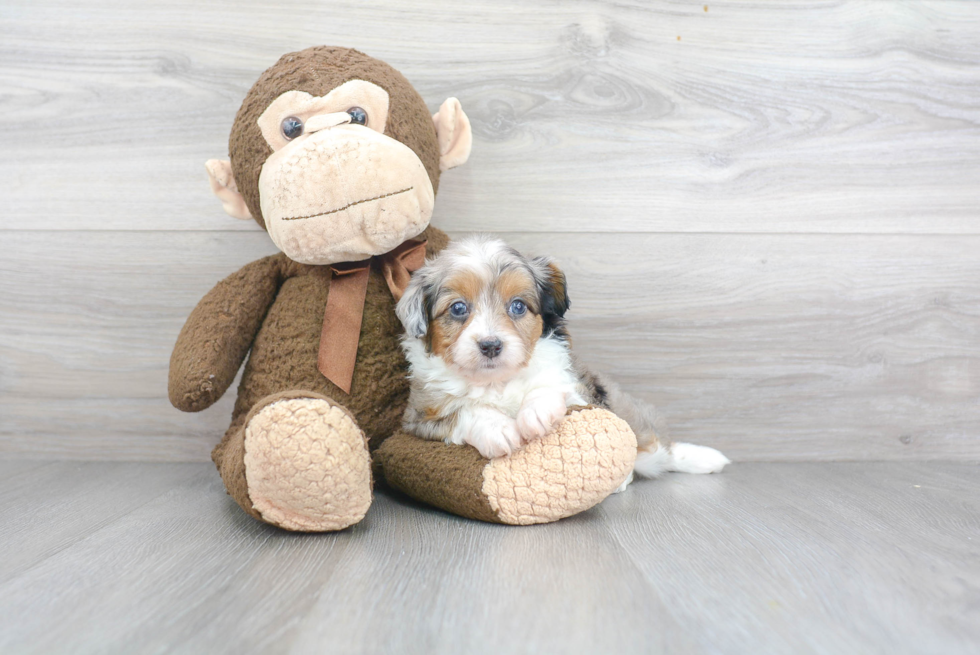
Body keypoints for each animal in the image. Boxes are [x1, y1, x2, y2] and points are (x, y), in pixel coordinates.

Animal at [392, 236, 728, 482]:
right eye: (458, 308)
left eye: (518, 306)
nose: (490, 345)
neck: (496, 380)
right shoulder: (418, 416)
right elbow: (464, 410)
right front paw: (498, 428)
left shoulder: (577, 387)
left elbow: (551, 385)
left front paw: (536, 413)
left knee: (658, 449)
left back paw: (703, 458)